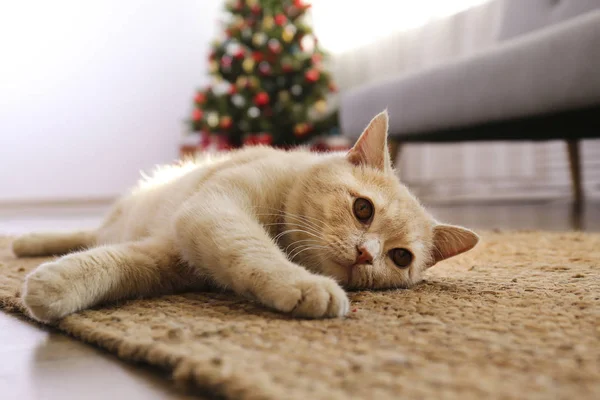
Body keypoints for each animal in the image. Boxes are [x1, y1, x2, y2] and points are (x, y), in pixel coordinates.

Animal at [11, 111, 478, 324]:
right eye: (363, 209)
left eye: (400, 257)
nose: (366, 254)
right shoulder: (215, 211)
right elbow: (256, 250)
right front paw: (304, 284)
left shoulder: (169, 255)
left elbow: (116, 265)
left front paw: (55, 286)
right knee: (87, 233)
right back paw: (25, 241)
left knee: (95, 240)